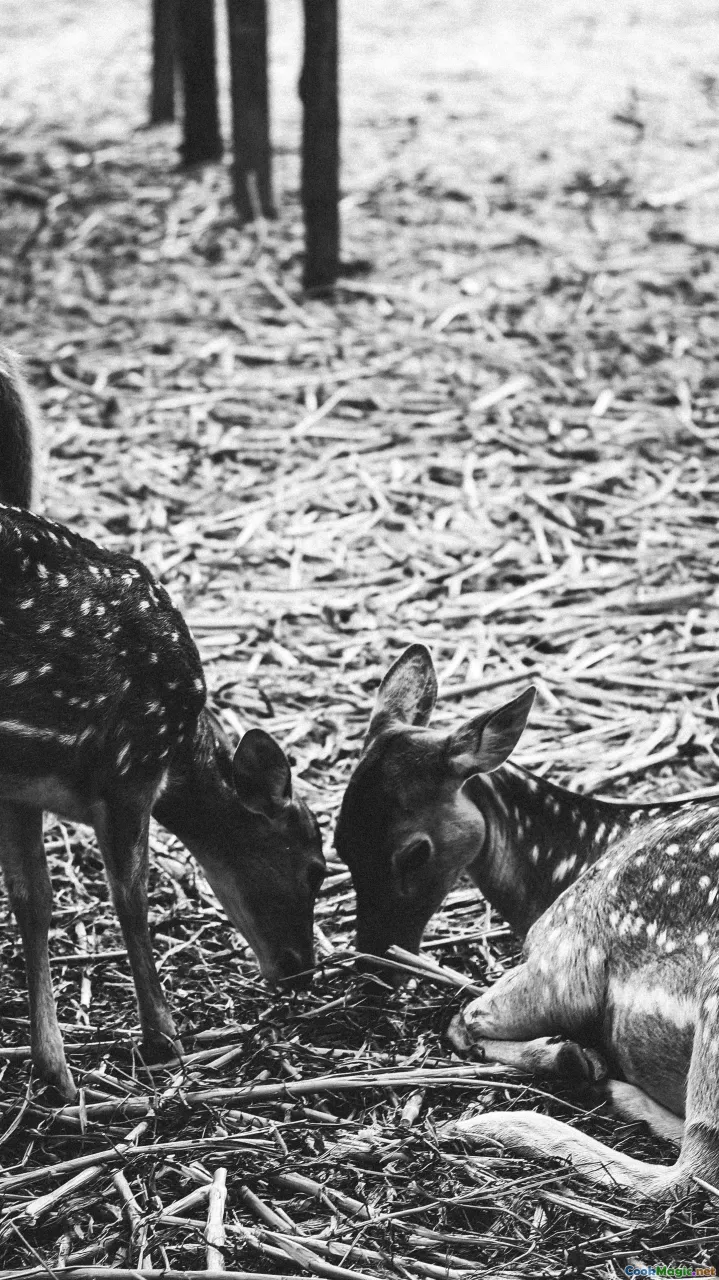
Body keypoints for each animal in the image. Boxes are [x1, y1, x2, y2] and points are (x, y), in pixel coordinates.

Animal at [0, 348, 326, 1101]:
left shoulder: (20, 786)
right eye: (316, 867)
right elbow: (131, 898)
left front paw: (55, 1070)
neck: (180, 750)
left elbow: (34, 901)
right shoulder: (126, 770)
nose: (300, 968)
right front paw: (164, 1039)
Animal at [335, 643, 719, 1197]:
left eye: (413, 853)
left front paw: (568, 1054)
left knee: (690, 1166)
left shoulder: (564, 959)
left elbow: (462, 1020)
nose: (371, 962)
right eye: (338, 844)